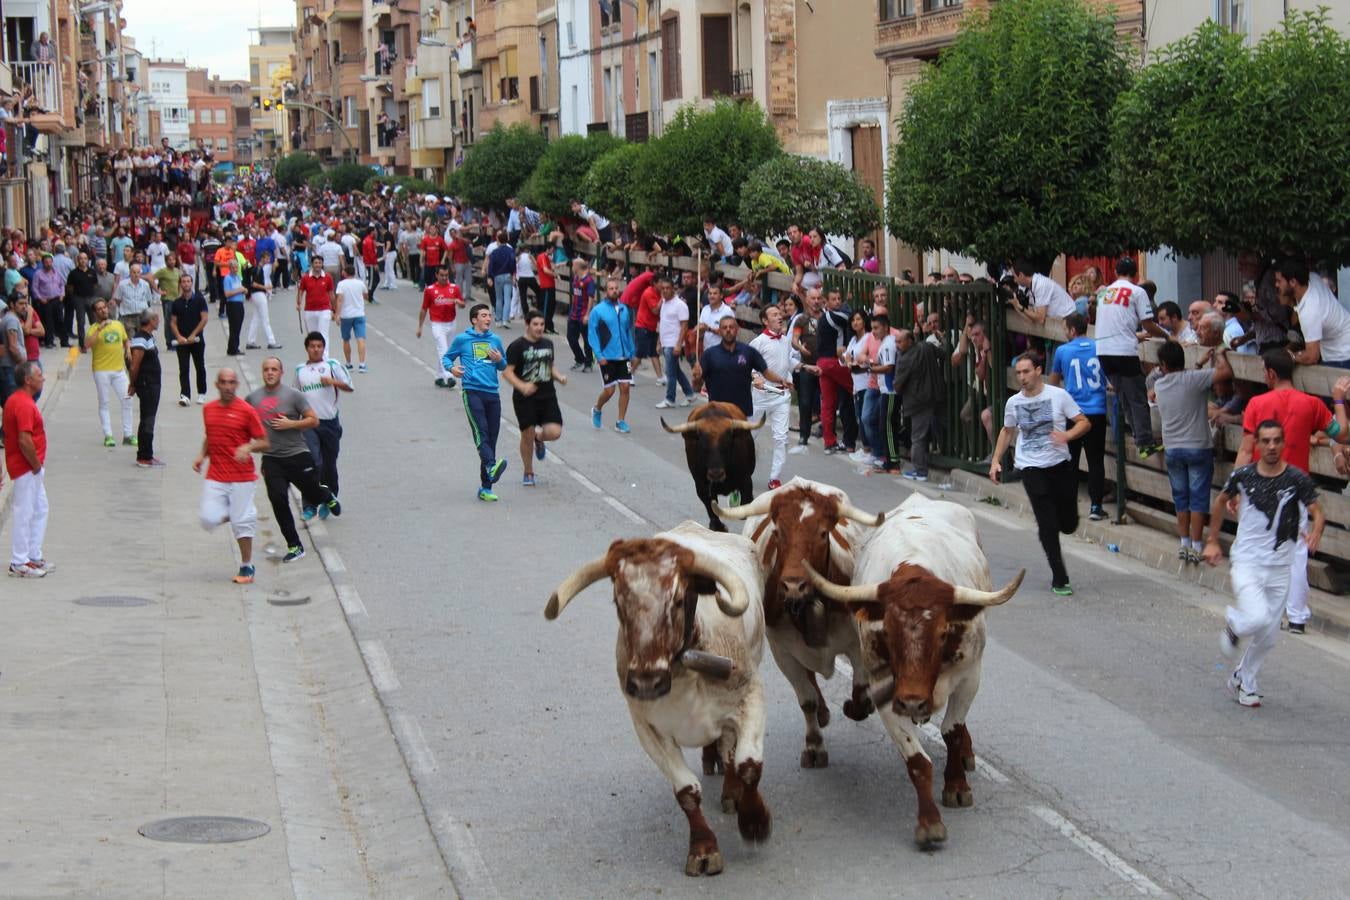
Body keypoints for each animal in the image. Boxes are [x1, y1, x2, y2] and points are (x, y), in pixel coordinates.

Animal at [799, 493, 1020, 852]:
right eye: (887, 632)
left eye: (943, 633)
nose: (915, 701)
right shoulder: (888, 693)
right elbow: (917, 761)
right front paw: (929, 824)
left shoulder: (969, 677)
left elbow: (952, 731)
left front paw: (956, 786)